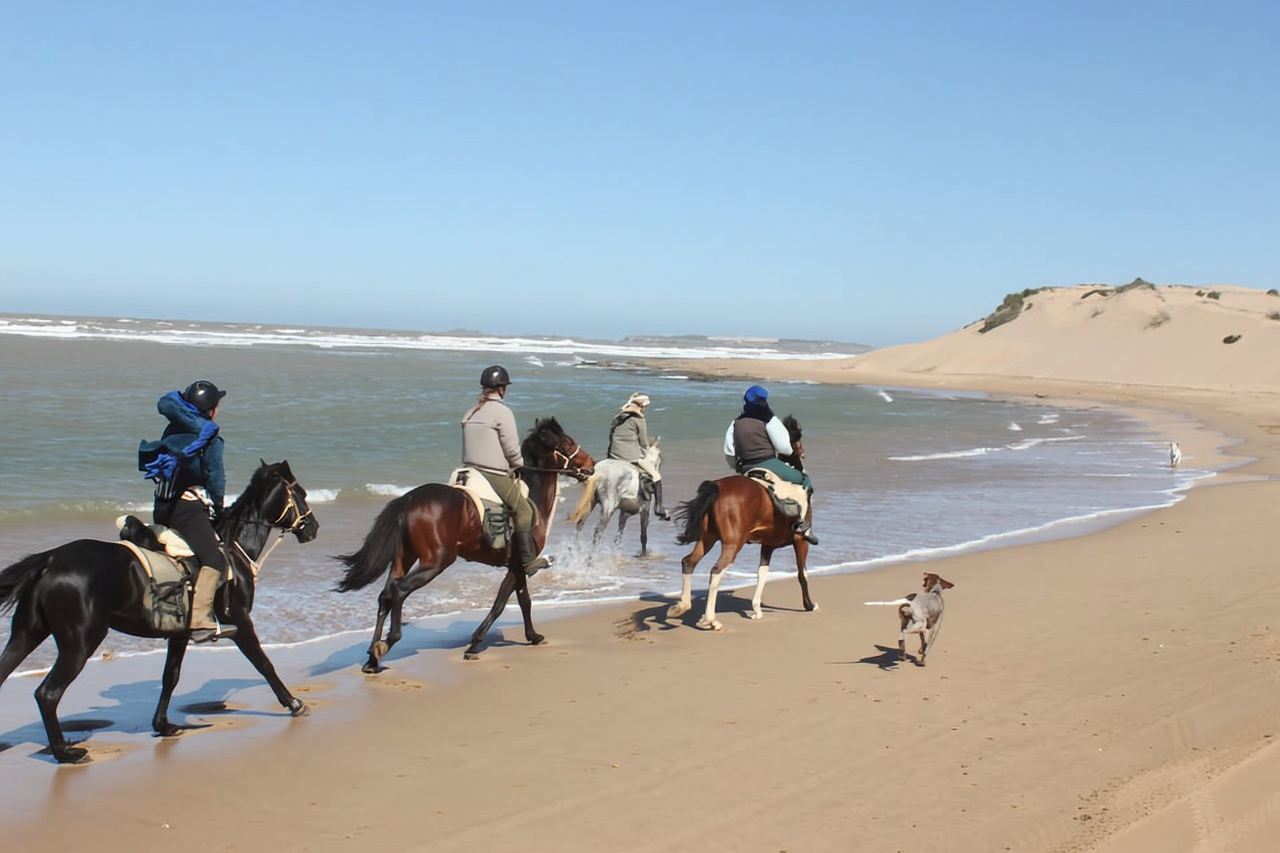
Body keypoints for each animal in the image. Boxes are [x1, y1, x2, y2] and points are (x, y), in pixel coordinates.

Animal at [0, 460, 320, 763]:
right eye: (302, 494)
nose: (313, 527)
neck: (233, 548)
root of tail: (51, 559)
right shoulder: (240, 621)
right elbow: (263, 663)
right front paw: (293, 703)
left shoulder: (179, 635)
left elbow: (170, 677)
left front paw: (163, 725)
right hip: (79, 643)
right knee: (48, 694)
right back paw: (65, 752)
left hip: (26, 634)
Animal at [335, 418, 594, 668]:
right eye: (567, 443)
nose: (591, 464)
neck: (531, 498)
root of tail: (409, 499)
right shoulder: (519, 565)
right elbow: (507, 602)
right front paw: (479, 642)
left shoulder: (515, 566)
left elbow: (520, 600)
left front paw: (530, 636)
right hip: (436, 561)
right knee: (398, 591)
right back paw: (388, 642)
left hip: (403, 558)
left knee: (385, 595)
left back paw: (372, 657)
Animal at [668, 416, 817, 631]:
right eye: (797, 439)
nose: (803, 453)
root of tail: (717, 487)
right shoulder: (801, 541)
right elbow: (802, 574)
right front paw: (809, 605)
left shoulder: (767, 545)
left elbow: (762, 574)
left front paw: (756, 610)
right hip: (732, 543)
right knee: (716, 571)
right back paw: (710, 620)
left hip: (707, 538)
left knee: (689, 562)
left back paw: (681, 607)